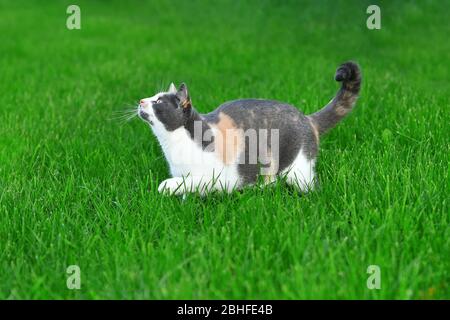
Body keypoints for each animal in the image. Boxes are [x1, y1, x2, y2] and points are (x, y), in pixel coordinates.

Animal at [138, 61, 362, 194]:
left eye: (158, 101)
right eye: (153, 97)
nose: (141, 101)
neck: (172, 145)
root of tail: (307, 118)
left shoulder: (218, 177)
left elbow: (191, 181)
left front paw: (167, 186)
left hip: (297, 171)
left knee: (311, 187)